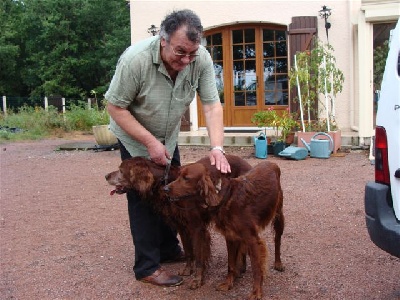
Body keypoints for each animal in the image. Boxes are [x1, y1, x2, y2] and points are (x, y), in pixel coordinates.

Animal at [104, 155, 252, 288]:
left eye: (121, 170)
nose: (106, 176)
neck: (163, 183)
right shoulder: (182, 227)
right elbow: (188, 251)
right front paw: (188, 270)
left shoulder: (197, 228)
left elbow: (199, 256)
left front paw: (197, 279)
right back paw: (241, 268)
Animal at [165, 161, 284, 298]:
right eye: (178, 175)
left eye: (186, 178)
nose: (165, 189)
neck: (225, 196)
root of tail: (271, 162)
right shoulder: (230, 237)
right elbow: (230, 264)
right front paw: (228, 284)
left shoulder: (252, 239)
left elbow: (256, 268)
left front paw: (256, 292)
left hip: (279, 216)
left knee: (277, 241)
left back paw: (278, 263)